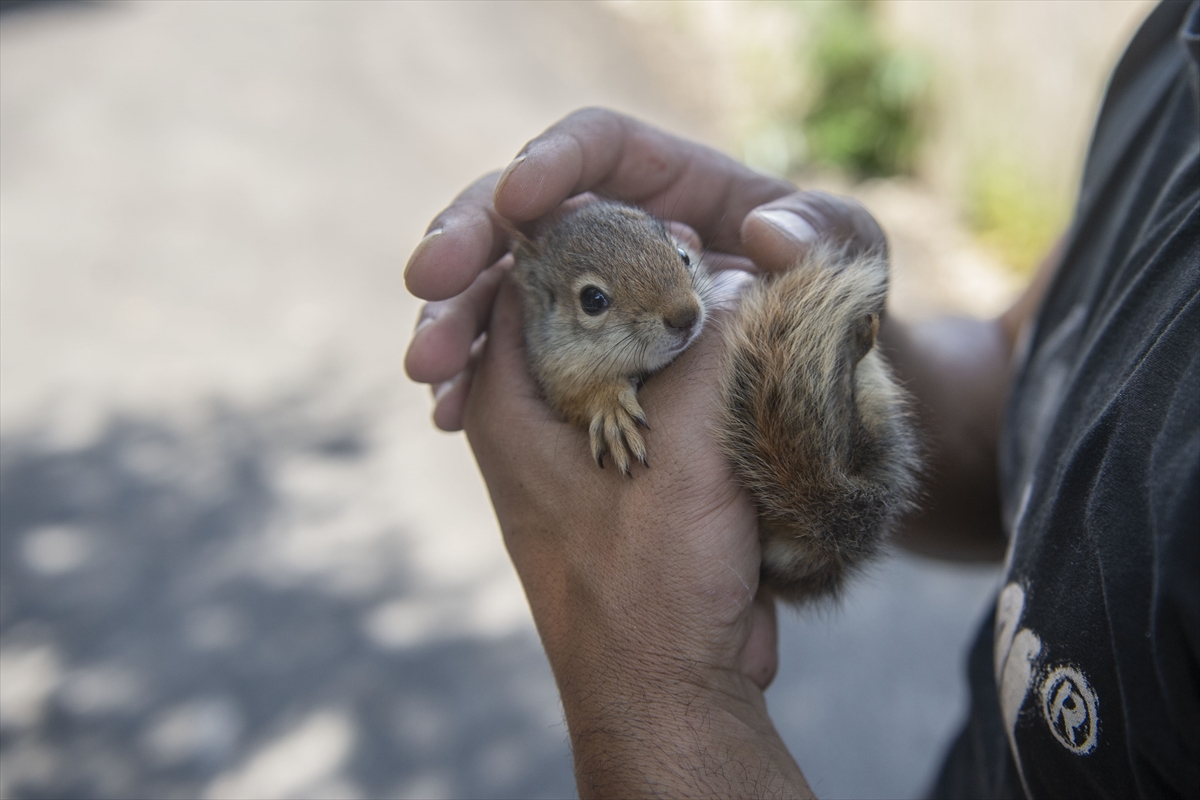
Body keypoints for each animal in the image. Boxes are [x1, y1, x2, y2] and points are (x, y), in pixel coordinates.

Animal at [506, 199, 916, 599]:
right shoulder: (555, 378)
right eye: (592, 299)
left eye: (684, 255)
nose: (685, 316)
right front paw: (609, 406)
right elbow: (579, 397)